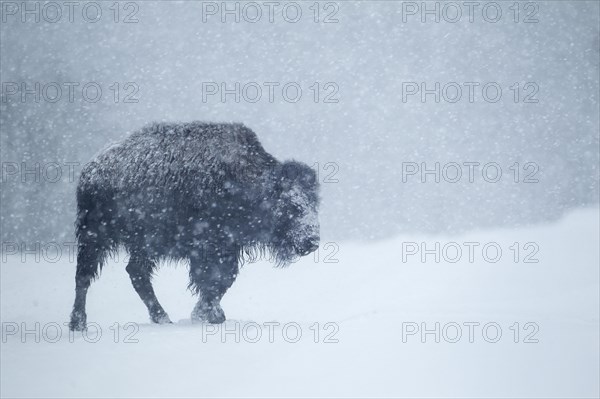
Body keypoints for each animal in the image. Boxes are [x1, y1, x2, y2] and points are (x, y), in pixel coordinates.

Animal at [68, 122, 322, 332]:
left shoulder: (228, 247)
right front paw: (211, 315)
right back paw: (78, 324)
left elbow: (224, 280)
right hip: (95, 236)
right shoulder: (208, 248)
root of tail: (89, 170)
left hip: (143, 245)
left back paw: (162, 318)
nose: (312, 241)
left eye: (314, 203)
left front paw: (205, 314)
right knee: (84, 277)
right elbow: (212, 279)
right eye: (291, 205)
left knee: (136, 273)